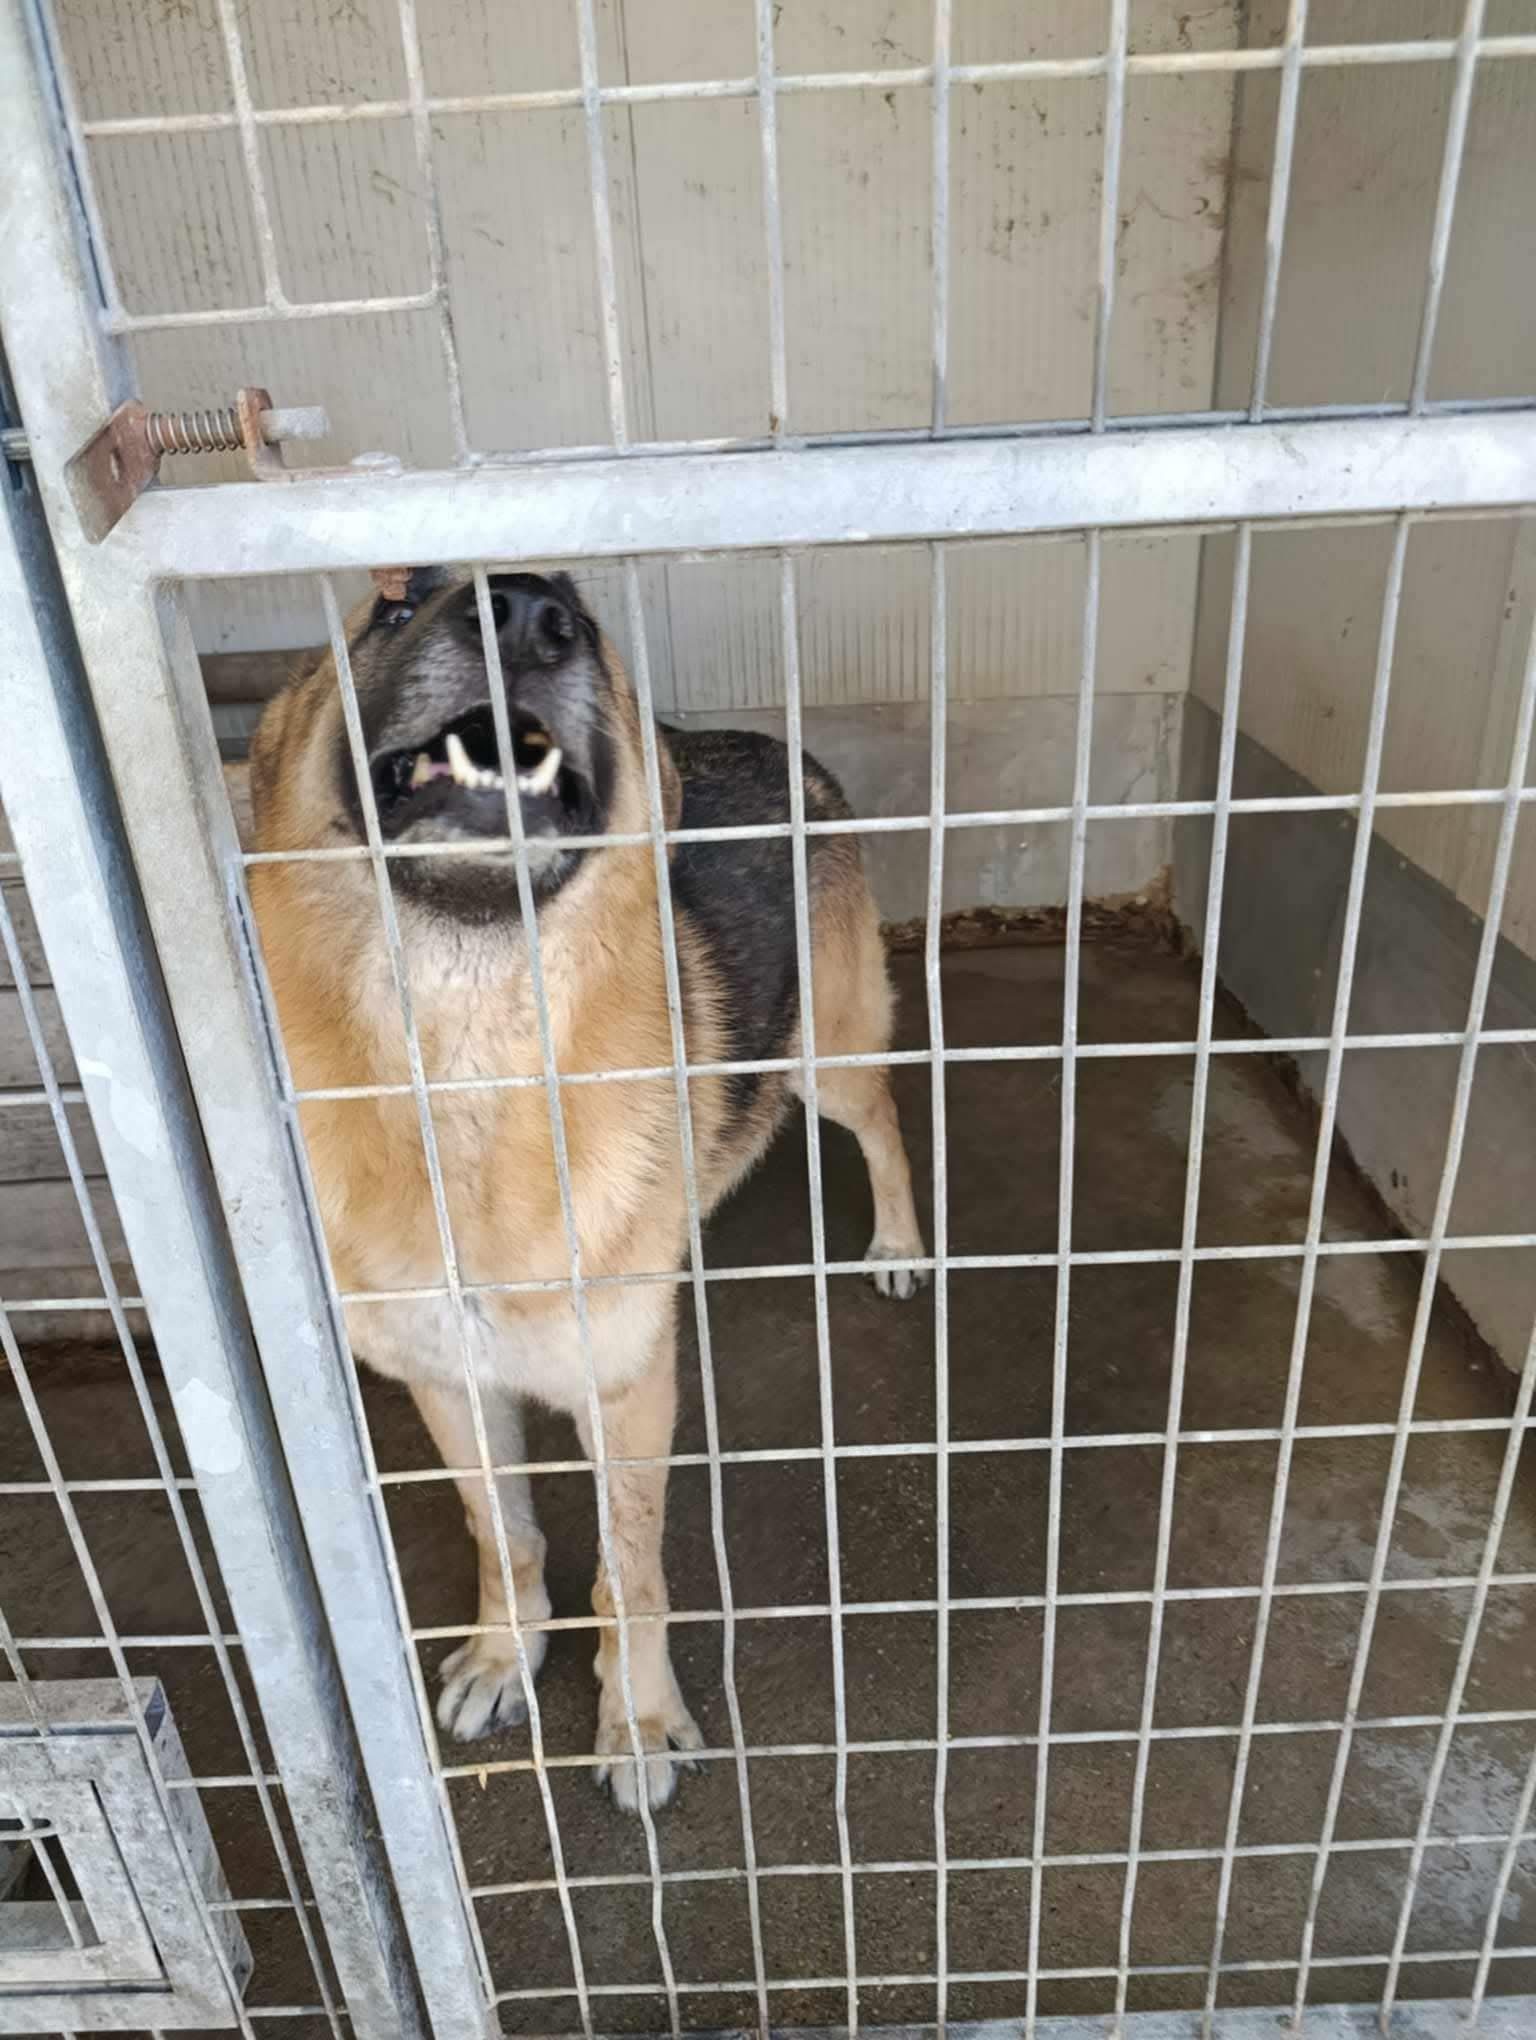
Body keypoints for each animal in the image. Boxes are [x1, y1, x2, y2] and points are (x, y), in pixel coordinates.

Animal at [248, 568, 926, 1811]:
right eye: (392, 605)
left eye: (582, 616)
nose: (522, 612)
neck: (466, 1069)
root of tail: (775, 744)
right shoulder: (450, 1383)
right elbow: (501, 1532)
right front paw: (507, 1650)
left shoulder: (627, 1395)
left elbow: (632, 1573)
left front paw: (639, 1719)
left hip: (832, 1051)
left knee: (885, 1123)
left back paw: (898, 1245)